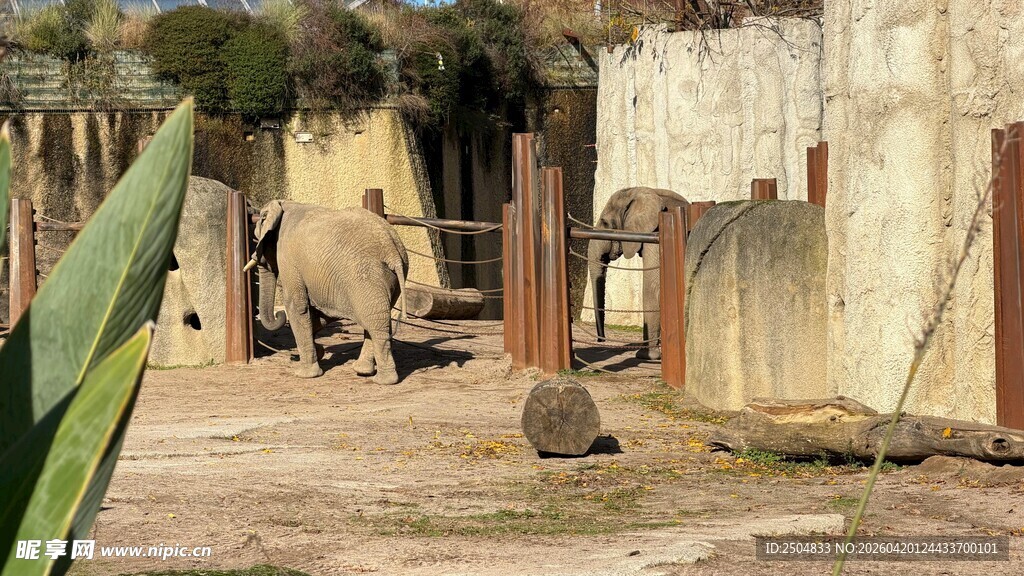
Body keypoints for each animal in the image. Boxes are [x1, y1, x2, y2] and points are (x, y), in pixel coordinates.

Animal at [244, 200, 408, 384]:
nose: (279, 314)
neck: (283, 204)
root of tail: (392, 250)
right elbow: (319, 314)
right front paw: (319, 351)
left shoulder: (288, 257)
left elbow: (297, 306)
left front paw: (304, 374)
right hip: (390, 278)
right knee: (380, 318)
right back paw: (362, 371)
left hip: (366, 277)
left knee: (375, 323)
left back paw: (383, 380)